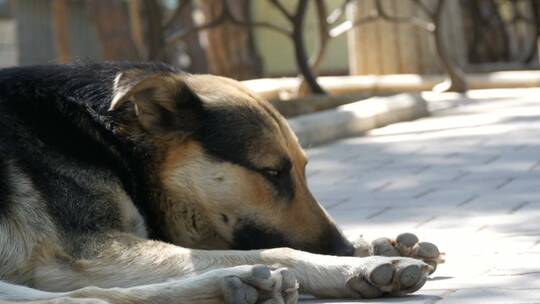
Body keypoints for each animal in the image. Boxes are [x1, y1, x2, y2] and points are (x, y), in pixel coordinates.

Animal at [0, 63, 440, 302]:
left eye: (302, 168)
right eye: (273, 172)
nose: (342, 249)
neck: (111, 137)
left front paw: (377, 244)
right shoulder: (87, 252)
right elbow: (278, 250)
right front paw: (362, 262)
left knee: (90, 297)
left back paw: (237, 287)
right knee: (88, 299)